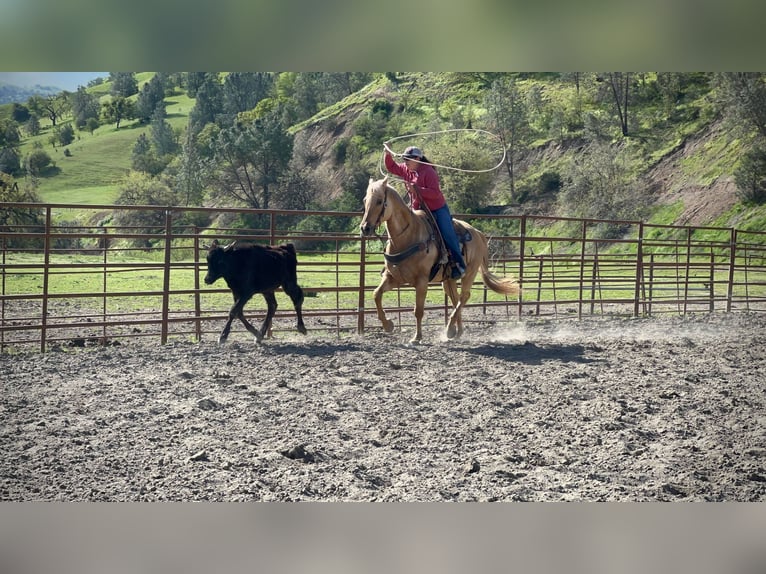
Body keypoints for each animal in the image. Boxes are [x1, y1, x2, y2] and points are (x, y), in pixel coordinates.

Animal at [362, 178, 520, 344]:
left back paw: (450, 329)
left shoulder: (421, 281)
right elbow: (376, 294)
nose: (365, 228)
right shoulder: (394, 278)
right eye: (365, 200)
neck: (409, 236)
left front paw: (416, 337)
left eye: (379, 201)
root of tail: (478, 233)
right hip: (448, 280)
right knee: (456, 299)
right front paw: (388, 325)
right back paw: (457, 332)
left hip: (469, 273)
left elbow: (418, 310)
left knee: (464, 296)